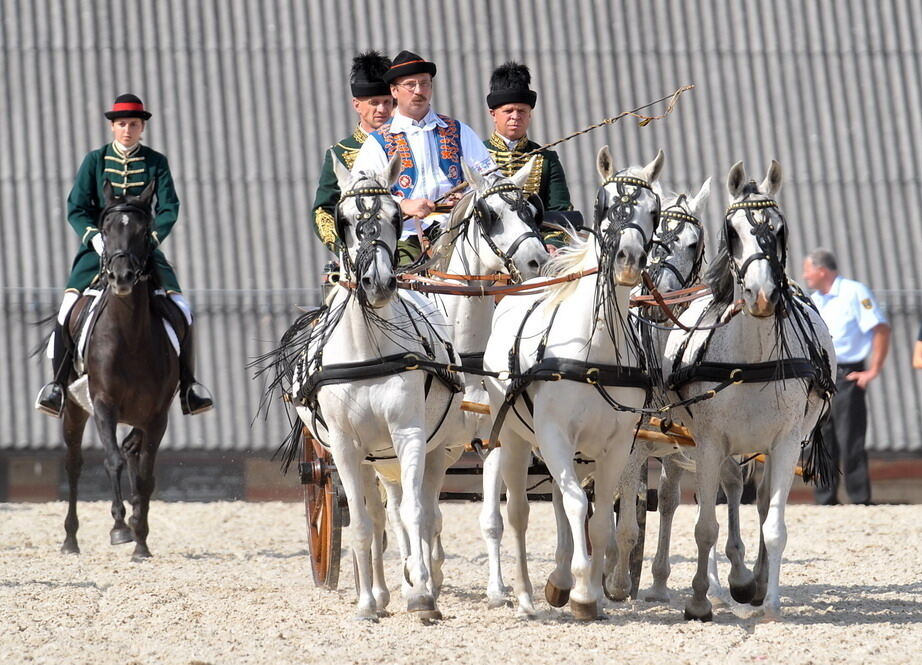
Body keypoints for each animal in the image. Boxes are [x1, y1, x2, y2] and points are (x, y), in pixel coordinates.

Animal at [60, 179, 181, 556]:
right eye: (106, 229)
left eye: (143, 232)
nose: (122, 276)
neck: (130, 337)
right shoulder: (103, 405)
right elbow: (111, 460)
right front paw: (120, 528)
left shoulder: (157, 415)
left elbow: (144, 475)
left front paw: (140, 540)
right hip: (74, 409)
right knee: (74, 464)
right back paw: (70, 539)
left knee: (132, 453)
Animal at [286, 154, 460, 616]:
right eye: (343, 219)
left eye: (396, 216)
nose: (378, 283)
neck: (368, 349)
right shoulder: (345, 447)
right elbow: (363, 524)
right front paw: (366, 603)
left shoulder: (410, 435)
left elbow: (415, 515)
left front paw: (421, 595)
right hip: (364, 457)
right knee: (377, 515)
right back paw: (378, 593)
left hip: (423, 450)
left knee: (413, 511)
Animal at [482, 149, 660, 616]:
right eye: (603, 205)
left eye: (653, 211)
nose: (628, 260)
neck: (595, 348)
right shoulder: (554, 433)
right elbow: (578, 505)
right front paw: (581, 589)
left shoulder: (618, 444)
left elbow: (598, 521)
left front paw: (590, 592)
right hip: (514, 437)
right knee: (520, 512)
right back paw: (525, 595)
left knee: (563, 501)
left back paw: (558, 581)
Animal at [660, 160, 832, 616]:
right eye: (733, 231)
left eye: (780, 229)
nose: (762, 295)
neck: (751, 360)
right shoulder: (707, 442)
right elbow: (705, 525)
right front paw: (700, 599)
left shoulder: (786, 440)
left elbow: (774, 526)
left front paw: (768, 602)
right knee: (697, 495)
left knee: (757, 499)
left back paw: (749, 581)